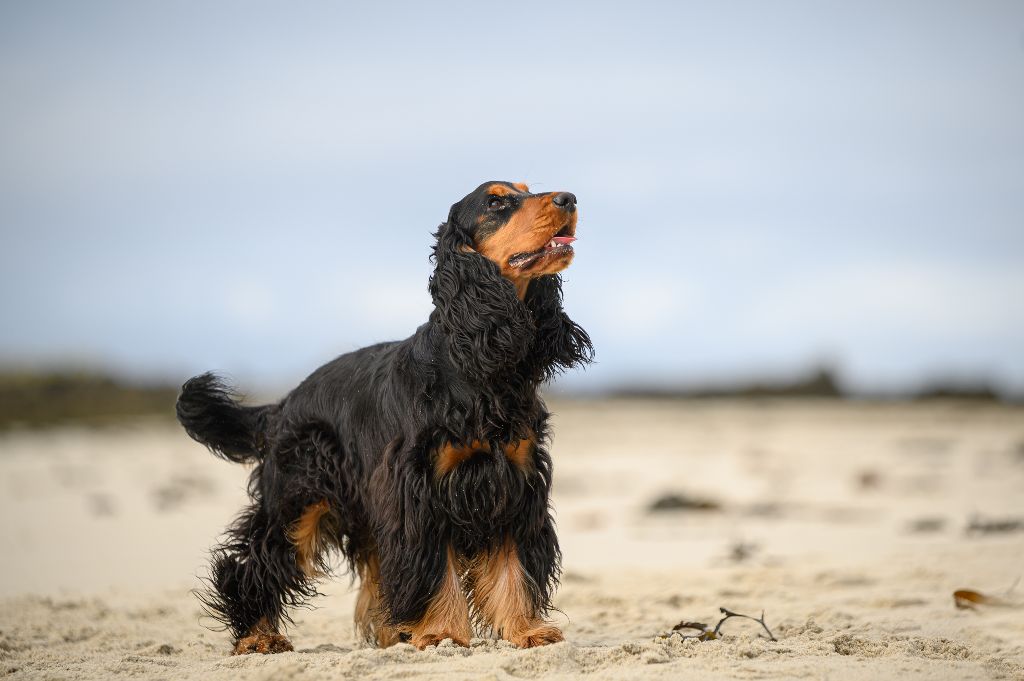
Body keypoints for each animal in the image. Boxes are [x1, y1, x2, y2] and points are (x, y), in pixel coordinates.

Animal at [176, 180, 593, 655]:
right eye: (495, 201)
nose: (569, 199)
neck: (477, 360)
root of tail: (285, 403)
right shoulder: (418, 486)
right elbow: (434, 565)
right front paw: (442, 633)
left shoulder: (514, 480)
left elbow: (512, 565)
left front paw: (525, 629)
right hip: (298, 497)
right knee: (254, 561)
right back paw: (257, 635)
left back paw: (391, 633)